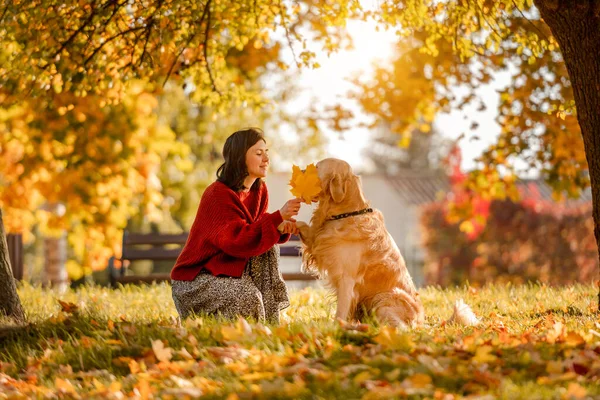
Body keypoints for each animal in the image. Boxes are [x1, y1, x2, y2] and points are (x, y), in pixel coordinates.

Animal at [296, 159, 478, 328]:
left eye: (317, 167)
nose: (299, 171)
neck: (346, 213)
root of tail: (421, 321)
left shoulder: (347, 278)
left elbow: (340, 311)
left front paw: (335, 327)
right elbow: (302, 226)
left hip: (384, 297)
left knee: (399, 327)